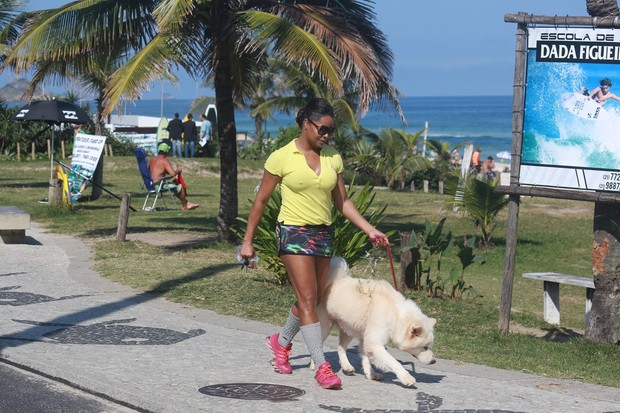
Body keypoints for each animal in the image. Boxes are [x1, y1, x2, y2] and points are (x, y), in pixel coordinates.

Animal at [314, 254, 436, 386]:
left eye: (430, 346)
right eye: (425, 347)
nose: (434, 361)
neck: (395, 315)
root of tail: (334, 281)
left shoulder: (366, 340)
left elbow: (366, 359)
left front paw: (371, 374)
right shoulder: (374, 343)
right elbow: (393, 362)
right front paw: (406, 377)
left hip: (349, 329)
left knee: (341, 347)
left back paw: (347, 366)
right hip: (326, 327)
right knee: (319, 344)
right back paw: (315, 366)